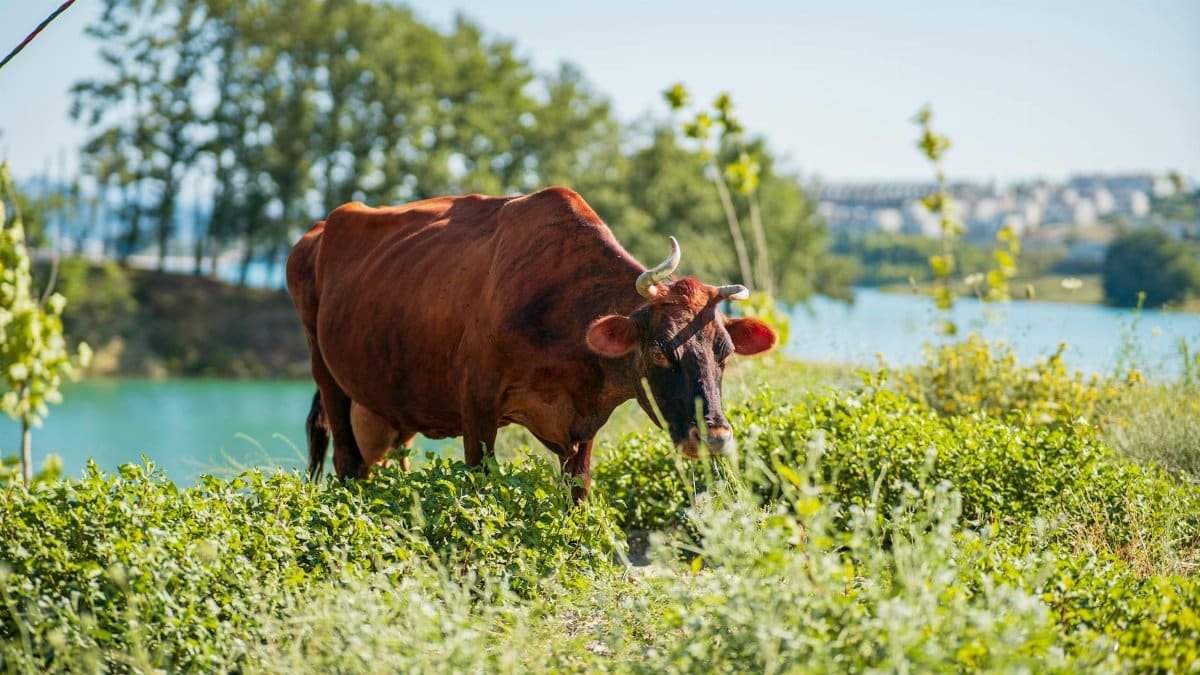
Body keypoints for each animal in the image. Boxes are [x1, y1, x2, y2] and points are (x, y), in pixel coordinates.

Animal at [286, 186, 777, 500]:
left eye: (724, 353)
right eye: (659, 350)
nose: (714, 435)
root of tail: (318, 229)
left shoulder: (585, 424)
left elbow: (578, 493)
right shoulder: (476, 401)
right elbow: (480, 486)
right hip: (325, 372)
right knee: (347, 463)